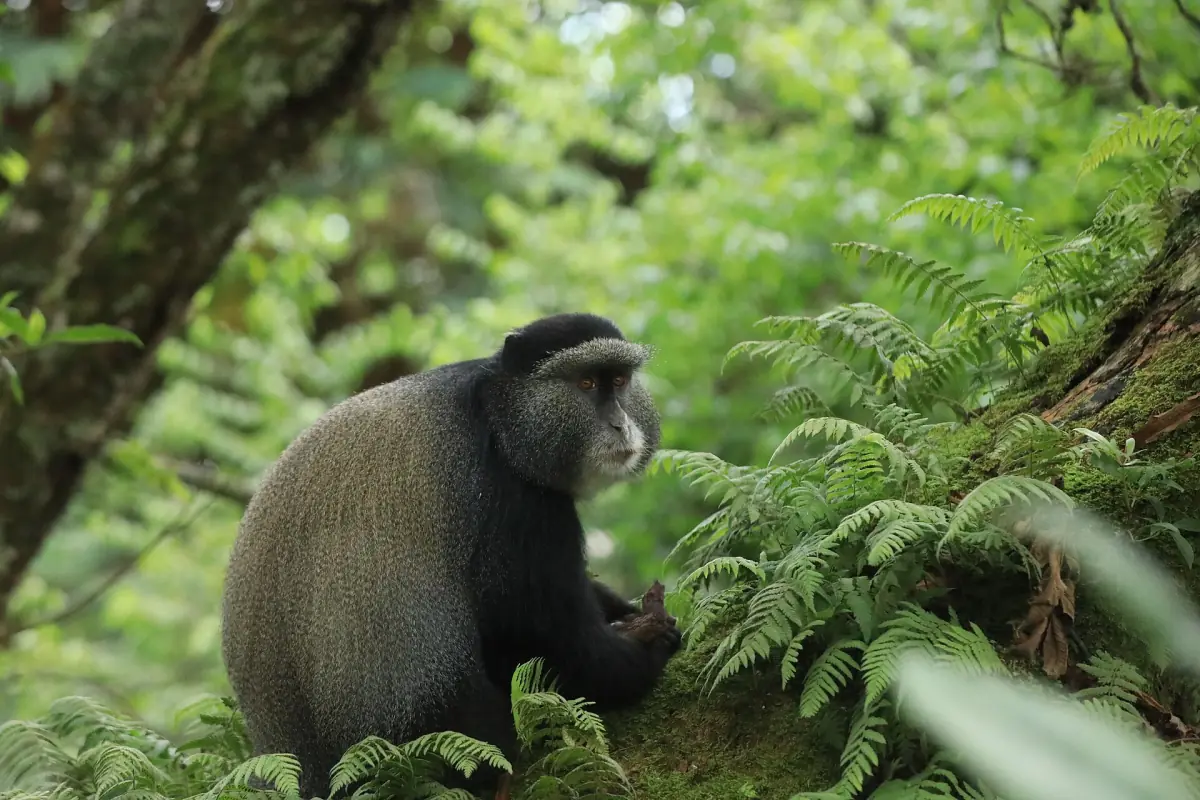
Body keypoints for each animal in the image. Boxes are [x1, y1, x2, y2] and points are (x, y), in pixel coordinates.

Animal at [220, 312, 681, 798]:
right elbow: (539, 632)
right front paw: (647, 653)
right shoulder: (515, 501)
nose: (620, 425)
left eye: (620, 380)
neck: (501, 416)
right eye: (587, 382)